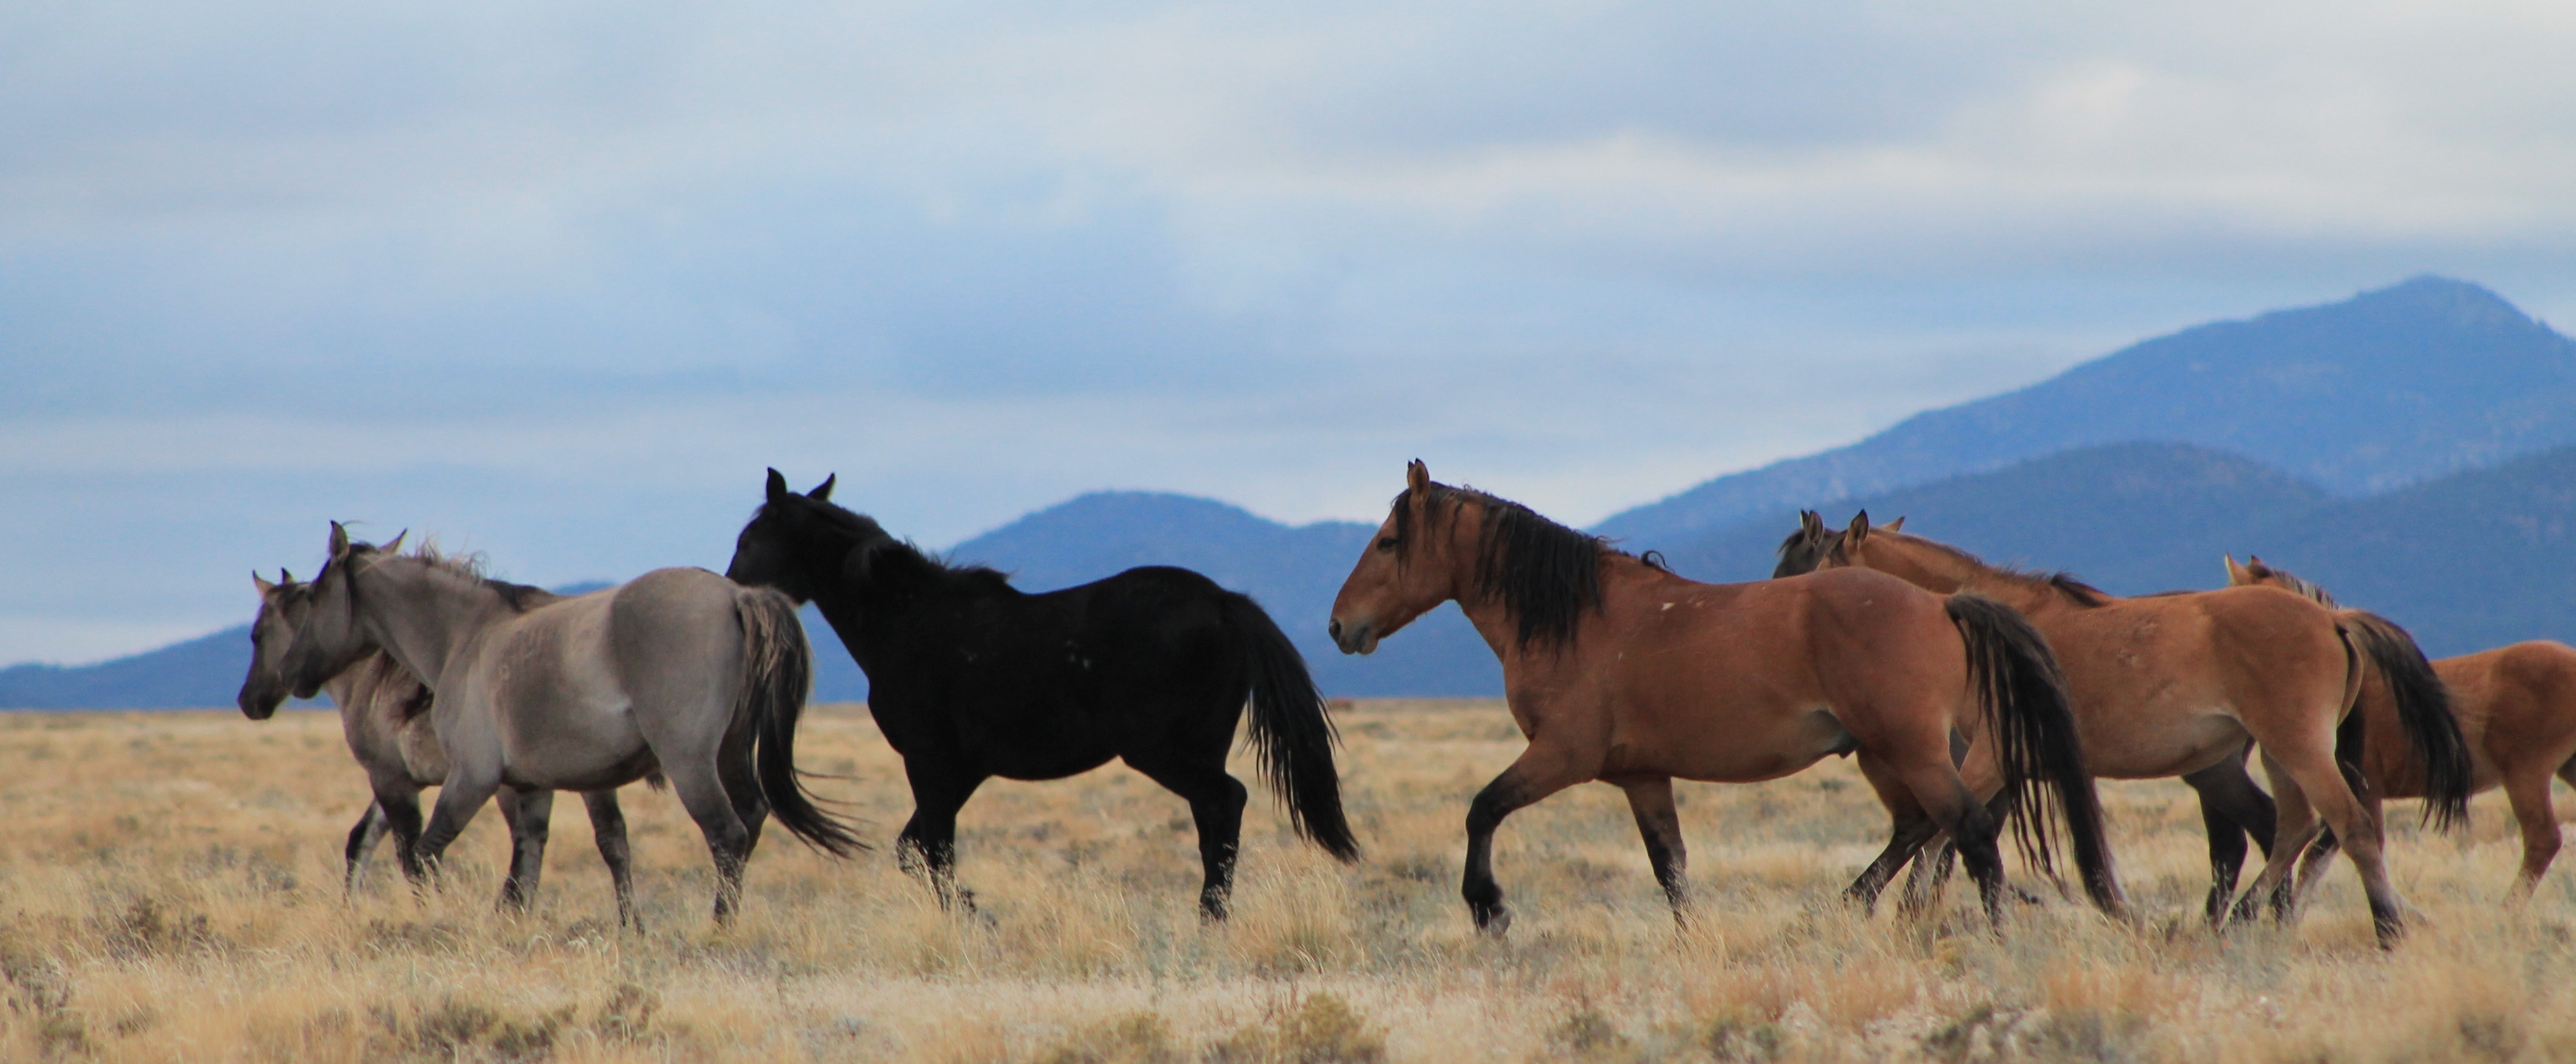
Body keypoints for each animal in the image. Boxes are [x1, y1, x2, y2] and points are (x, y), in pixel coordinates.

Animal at [236, 567, 643, 923]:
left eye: (257, 635)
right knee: (610, 841)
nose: (247, 702)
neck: (371, 677)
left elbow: (409, 854)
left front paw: (435, 910)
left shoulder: (390, 778)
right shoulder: (400, 781)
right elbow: (365, 838)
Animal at [278, 523, 860, 923]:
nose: (291, 674)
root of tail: (735, 595)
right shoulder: (531, 787)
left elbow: (426, 855)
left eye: (312, 598)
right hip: (730, 752)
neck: (465, 638)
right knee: (752, 819)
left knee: (727, 834)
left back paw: (718, 929)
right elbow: (525, 868)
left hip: (692, 762)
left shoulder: (471, 779)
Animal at [724, 470, 1357, 920]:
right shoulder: (963, 770)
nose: (730, 591)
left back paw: (1209, 917)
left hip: (1163, 751)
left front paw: (971, 917)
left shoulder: (929, 761)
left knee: (1226, 802)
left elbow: (936, 850)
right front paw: (974, 911)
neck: (907, 619)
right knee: (1214, 819)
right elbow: (916, 849)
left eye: (750, 537)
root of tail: (1225, 601)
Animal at [1327, 461, 2122, 936]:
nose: (1340, 626)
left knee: (1969, 833)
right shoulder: (1642, 777)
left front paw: (1487, 907)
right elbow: (1670, 868)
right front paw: (1691, 941)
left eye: (1390, 541)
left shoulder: (1560, 756)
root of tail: (1942, 603)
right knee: (1918, 830)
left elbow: (1482, 808)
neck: (1582, 619)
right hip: (1885, 756)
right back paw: (1846, 906)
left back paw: (1986, 938)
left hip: (1909, 751)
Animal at [1775, 512, 2472, 946]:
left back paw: (2381, 929)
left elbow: (1941, 833)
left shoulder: (1990, 756)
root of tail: (2333, 619)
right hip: (2272, 755)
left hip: (2294, 748)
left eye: (1801, 568)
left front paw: (1899, 913)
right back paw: (2249, 919)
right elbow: (1950, 838)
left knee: (2344, 826)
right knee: (2292, 826)